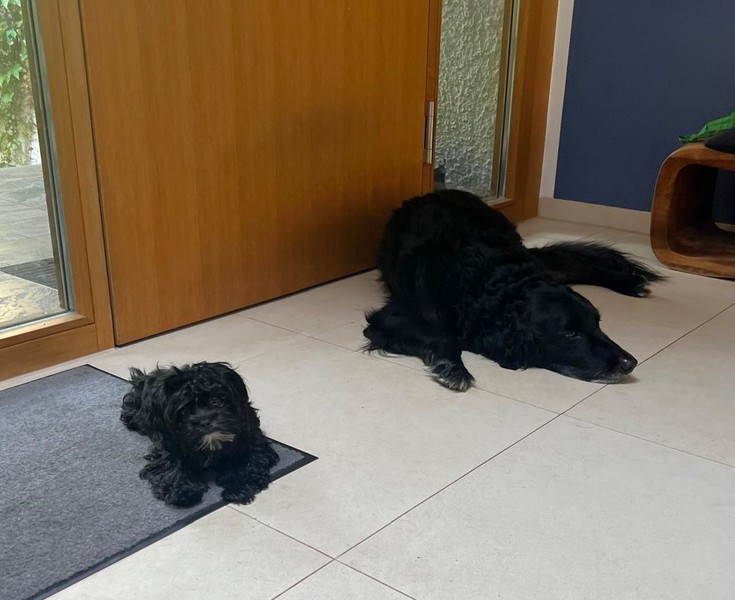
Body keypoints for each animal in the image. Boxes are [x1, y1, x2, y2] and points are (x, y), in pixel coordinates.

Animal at [121, 362, 278, 507]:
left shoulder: (253, 443)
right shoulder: (167, 446)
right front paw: (182, 490)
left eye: (216, 400)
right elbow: (174, 465)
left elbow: (244, 462)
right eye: (183, 411)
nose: (205, 421)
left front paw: (238, 488)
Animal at [364, 189, 663, 392]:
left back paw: (631, 283)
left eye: (598, 323)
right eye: (570, 333)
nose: (630, 362)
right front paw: (453, 368)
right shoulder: (392, 317)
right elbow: (442, 336)